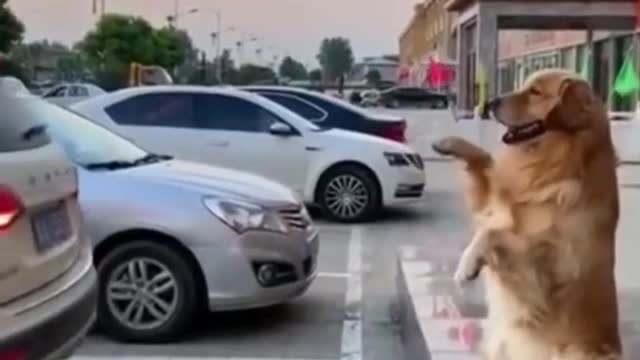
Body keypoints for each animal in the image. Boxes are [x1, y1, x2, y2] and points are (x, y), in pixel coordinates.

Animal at [430, 68, 620, 360]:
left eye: (535, 92)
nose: (491, 102)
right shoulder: (493, 204)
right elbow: (484, 160)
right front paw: (449, 142)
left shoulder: (545, 270)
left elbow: (493, 233)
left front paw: (467, 264)